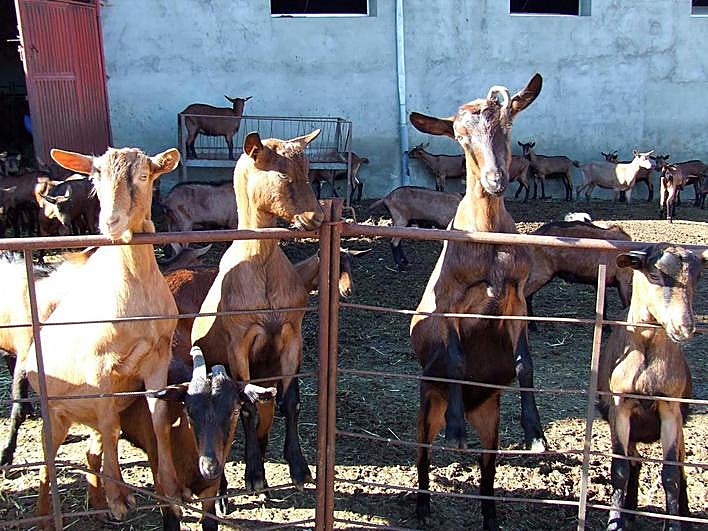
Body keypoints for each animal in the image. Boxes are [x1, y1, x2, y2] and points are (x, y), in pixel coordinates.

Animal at [20, 146, 185, 526]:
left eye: (144, 175)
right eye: (94, 179)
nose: (110, 222)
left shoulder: (158, 357)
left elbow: (158, 417)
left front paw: (171, 491)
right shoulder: (98, 367)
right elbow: (112, 425)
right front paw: (119, 499)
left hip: (85, 415)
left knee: (91, 449)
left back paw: (95, 500)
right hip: (55, 413)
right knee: (49, 464)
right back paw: (46, 517)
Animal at [191, 129, 324, 492]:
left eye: (309, 171)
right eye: (283, 175)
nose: (316, 219)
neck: (261, 266)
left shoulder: (292, 336)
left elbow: (290, 402)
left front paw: (299, 468)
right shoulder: (239, 343)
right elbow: (248, 406)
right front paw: (254, 474)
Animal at [409, 73, 545, 528]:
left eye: (508, 124)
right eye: (461, 137)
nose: (495, 180)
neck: (486, 241)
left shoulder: (516, 297)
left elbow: (524, 362)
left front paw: (535, 432)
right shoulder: (448, 300)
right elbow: (456, 359)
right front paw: (455, 431)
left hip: (489, 417)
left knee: (487, 473)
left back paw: (489, 517)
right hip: (425, 405)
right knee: (422, 456)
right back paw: (423, 506)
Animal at [598, 244, 706, 531]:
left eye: (698, 277)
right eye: (654, 275)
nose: (684, 327)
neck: (645, 348)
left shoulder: (670, 408)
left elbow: (670, 473)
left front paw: (673, 524)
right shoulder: (620, 406)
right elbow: (620, 469)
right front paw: (616, 522)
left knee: (681, 466)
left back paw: (685, 514)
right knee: (634, 463)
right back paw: (630, 510)